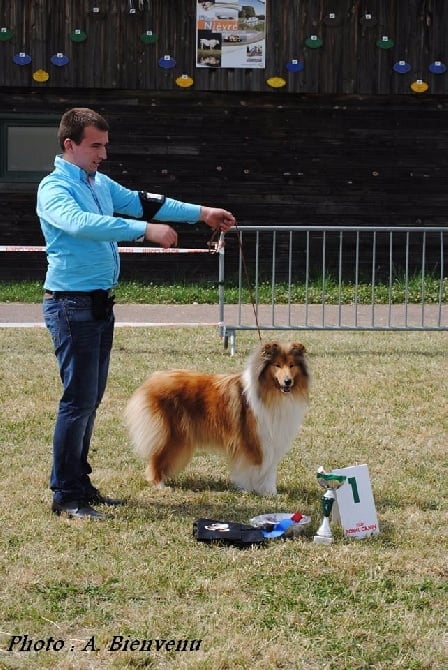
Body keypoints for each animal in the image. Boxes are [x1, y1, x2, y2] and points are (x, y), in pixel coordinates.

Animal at [124, 344, 310, 496]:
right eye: (277, 365)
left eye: (291, 365)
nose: (288, 381)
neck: (270, 393)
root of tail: (150, 381)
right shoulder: (255, 440)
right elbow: (256, 466)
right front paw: (252, 489)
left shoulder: (272, 440)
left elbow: (269, 468)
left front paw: (270, 492)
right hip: (171, 436)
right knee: (156, 459)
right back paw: (160, 485)